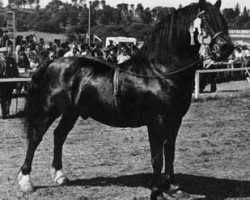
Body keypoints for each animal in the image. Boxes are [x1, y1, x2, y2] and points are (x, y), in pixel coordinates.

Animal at [17, 0, 234, 199]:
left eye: (222, 20)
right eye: (205, 21)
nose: (227, 48)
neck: (160, 72)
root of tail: (53, 62)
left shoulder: (175, 120)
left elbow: (170, 153)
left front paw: (173, 187)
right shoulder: (156, 121)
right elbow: (157, 157)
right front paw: (157, 192)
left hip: (72, 112)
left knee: (59, 135)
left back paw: (60, 176)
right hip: (48, 110)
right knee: (35, 137)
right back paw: (26, 181)